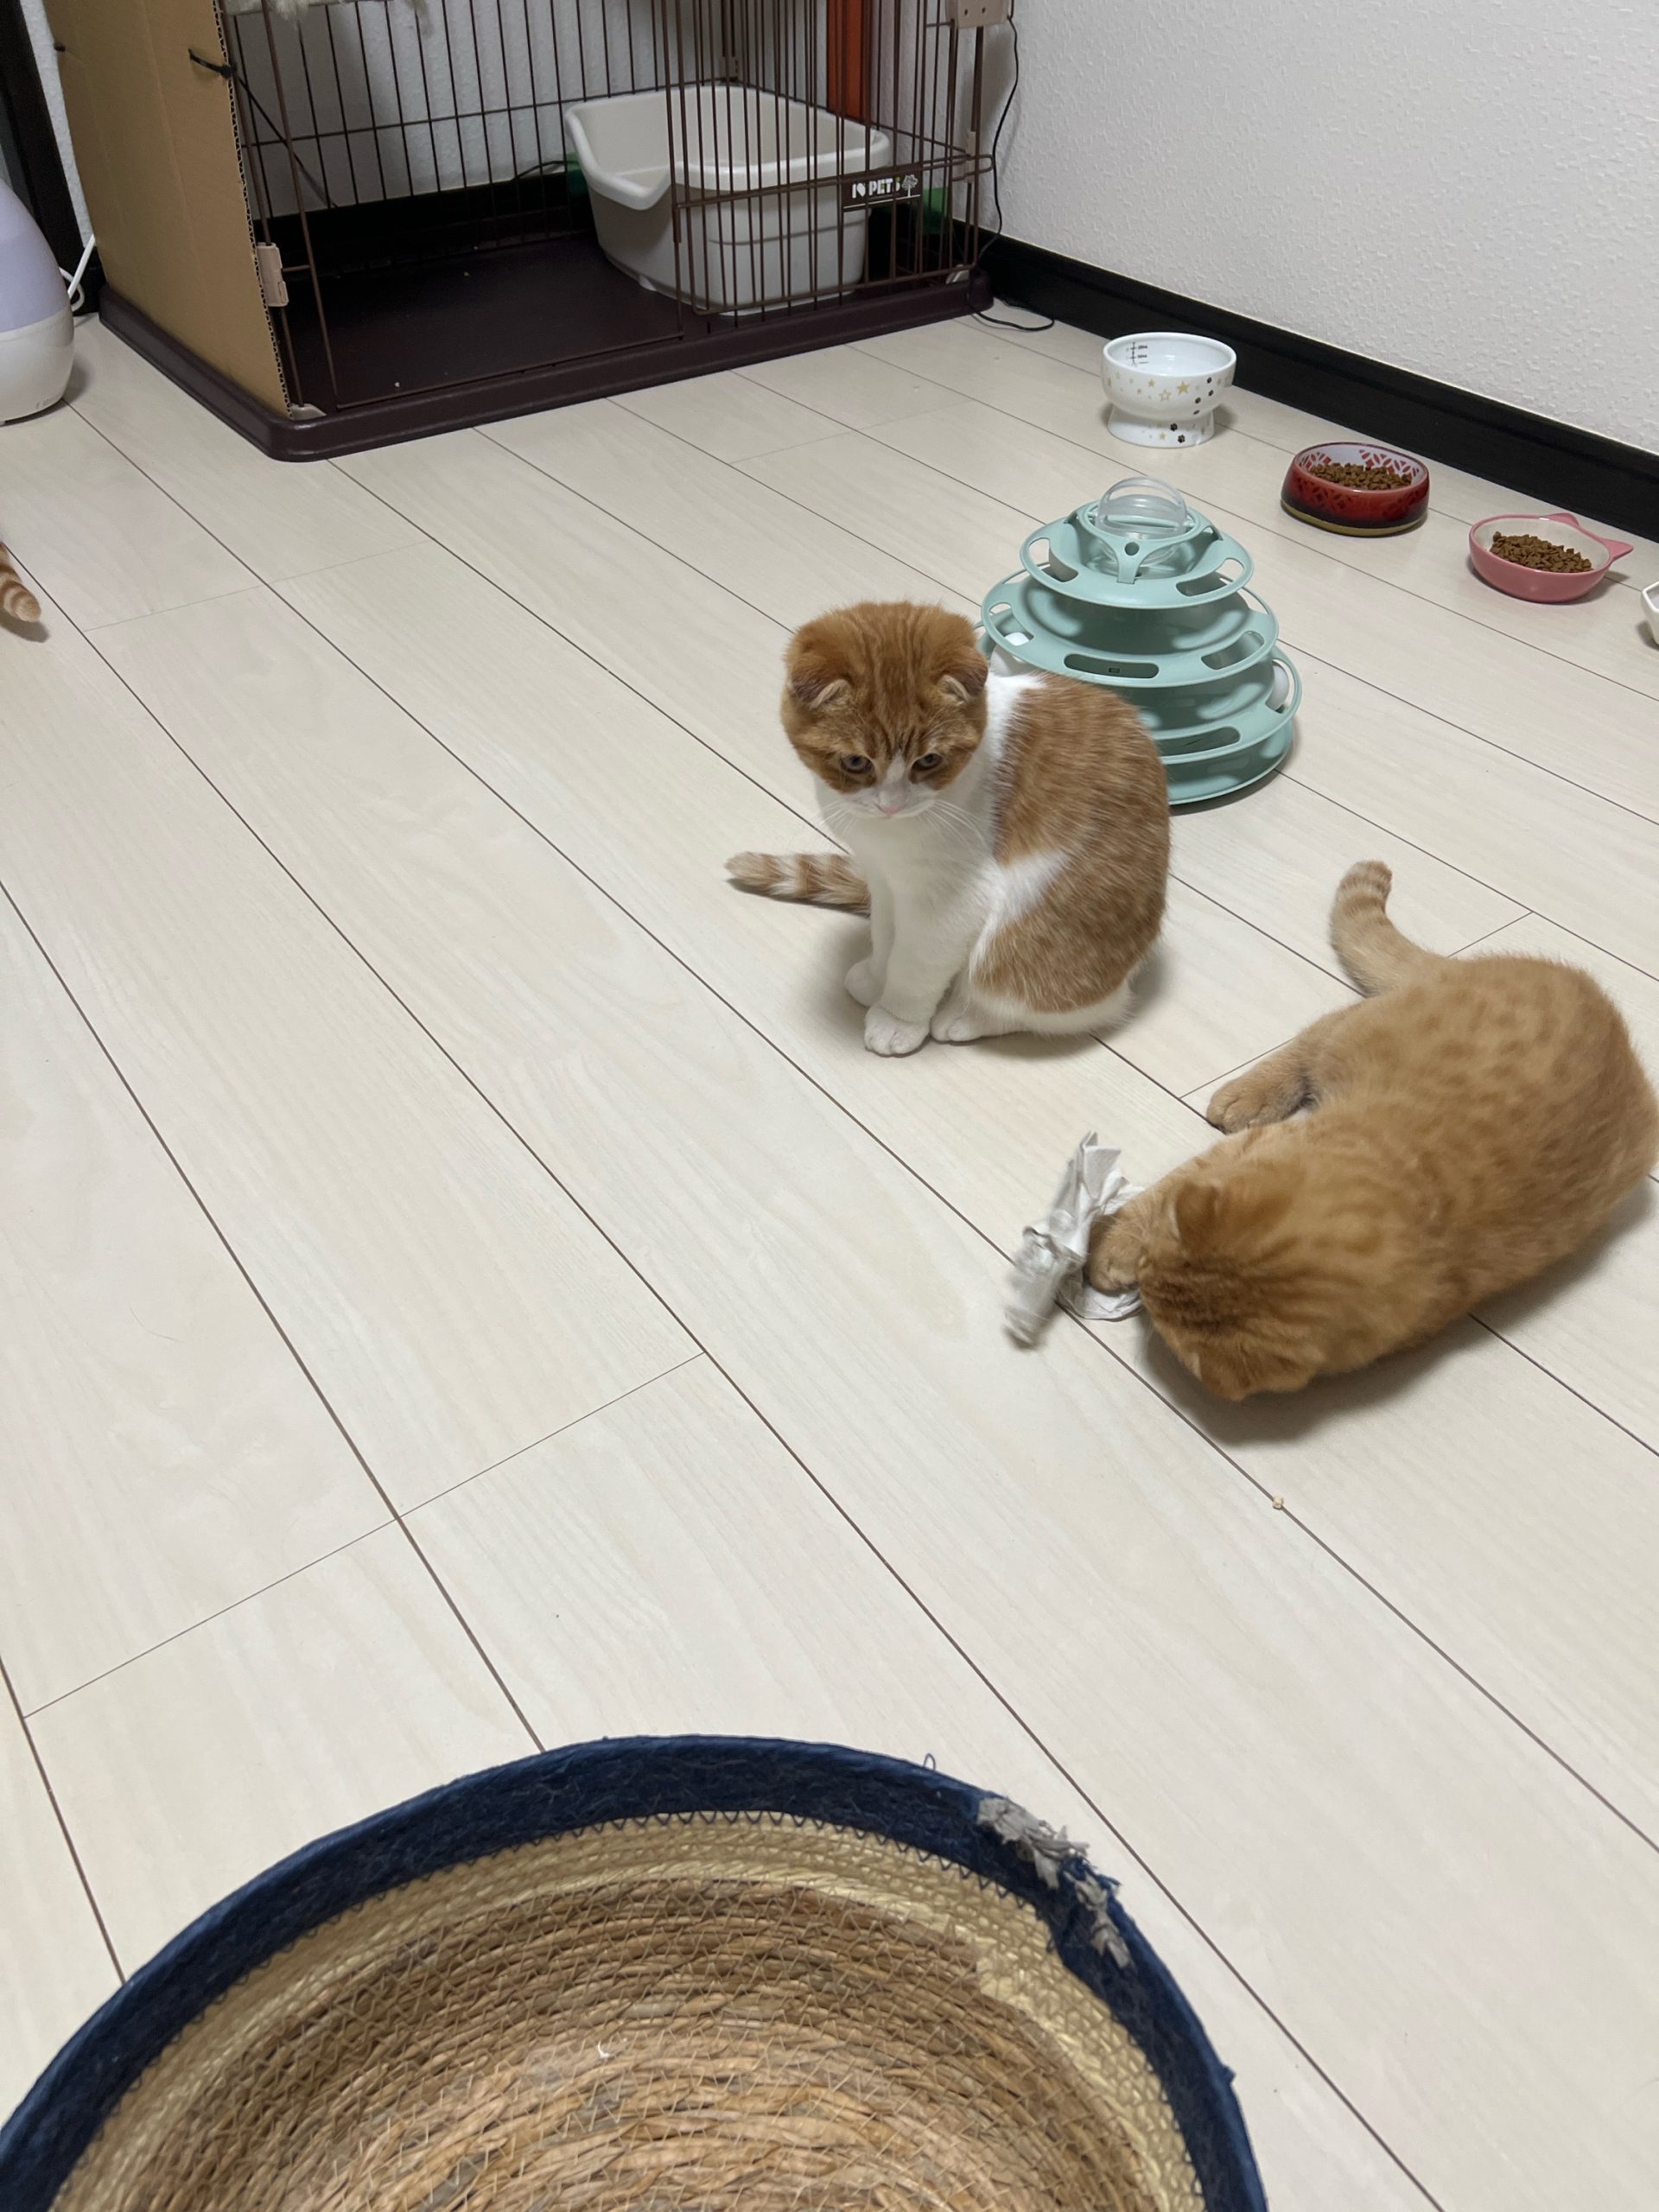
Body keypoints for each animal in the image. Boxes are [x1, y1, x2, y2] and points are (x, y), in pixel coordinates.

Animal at [726, 601, 1169, 1056]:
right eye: (855, 762)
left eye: (929, 760)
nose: (891, 805)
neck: (886, 837)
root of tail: (1131, 976)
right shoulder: (884, 879)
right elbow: (886, 936)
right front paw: (876, 979)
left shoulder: (950, 900)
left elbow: (913, 964)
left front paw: (897, 1019)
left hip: (1025, 942)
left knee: (1049, 1007)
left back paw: (965, 1017)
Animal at [1087, 860, 1659, 1399]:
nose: (1138, 1273)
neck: (1416, 1196)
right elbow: (1163, 1189)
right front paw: (1112, 1244)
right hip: (1350, 1034)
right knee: (1316, 1032)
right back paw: (1247, 1095)